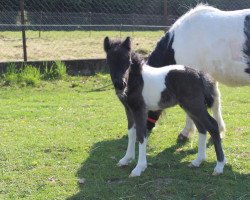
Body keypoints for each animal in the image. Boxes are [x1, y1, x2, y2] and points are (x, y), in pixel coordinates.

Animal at [103, 37, 227, 177]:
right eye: (109, 61)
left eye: (128, 61)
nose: (120, 84)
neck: (136, 80)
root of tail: (200, 75)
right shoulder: (129, 110)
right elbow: (131, 133)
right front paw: (126, 159)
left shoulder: (140, 110)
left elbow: (141, 135)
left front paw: (139, 167)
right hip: (190, 107)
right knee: (202, 128)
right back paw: (198, 161)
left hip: (195, 105)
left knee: (212, 126)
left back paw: (219, 166)